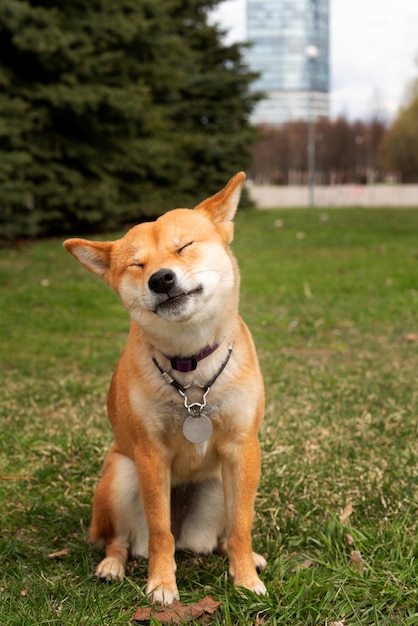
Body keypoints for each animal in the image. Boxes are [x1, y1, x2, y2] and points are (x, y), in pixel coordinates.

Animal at [63, 172, 266, 604]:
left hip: (219, 485)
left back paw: (244, 556)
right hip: (121, 476)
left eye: (183, 246)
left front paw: (244, 579)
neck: (190, 364)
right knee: (121, 540)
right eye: (137, 265)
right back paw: (111, 565)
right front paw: (160, 584)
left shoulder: (242, 447)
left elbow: (242, 524)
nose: (161, 278)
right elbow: (159, 532)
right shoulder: (150, 455)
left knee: (224, 534)